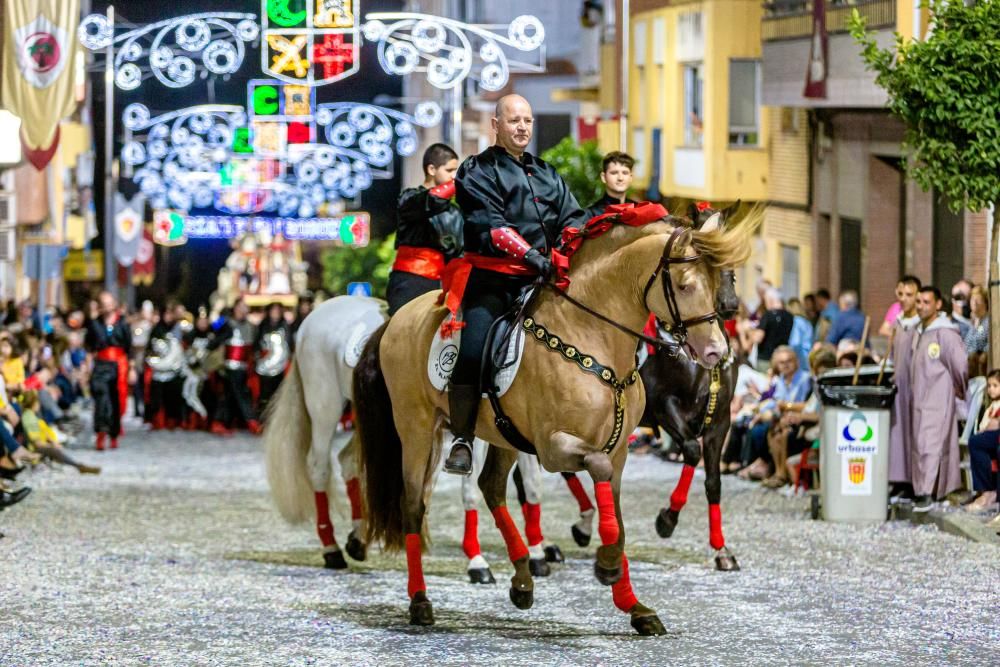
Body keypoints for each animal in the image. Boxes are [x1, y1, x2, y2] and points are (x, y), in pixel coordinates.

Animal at [356, 207, 752, 636]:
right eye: (684, 285)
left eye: (724, 277)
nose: (715, 351)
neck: (593, 338)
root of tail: (398, 317)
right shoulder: (556, 444)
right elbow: (600, 469)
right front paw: (609, 561)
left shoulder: (635, 447)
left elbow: (630, 510)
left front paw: (634, 605)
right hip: (416, 429)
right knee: (414, 505)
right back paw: (421, 599)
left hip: (502, 434)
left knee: (491, 488)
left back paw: (522, 578)